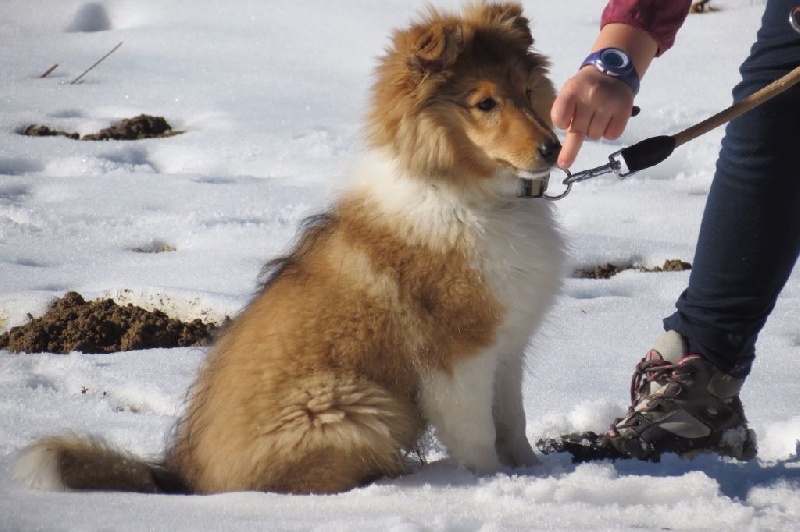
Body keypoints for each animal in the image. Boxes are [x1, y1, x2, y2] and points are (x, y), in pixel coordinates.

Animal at [12, 2, 564, 496]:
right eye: (485, 104)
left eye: (527, 90)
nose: (554, 148)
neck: (471, 199)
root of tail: (187, 479)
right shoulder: (458, 356)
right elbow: (478, 436)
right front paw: (489, 484)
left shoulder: (507, 347)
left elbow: (512, 422)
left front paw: (534, 472)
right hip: (356, 404)